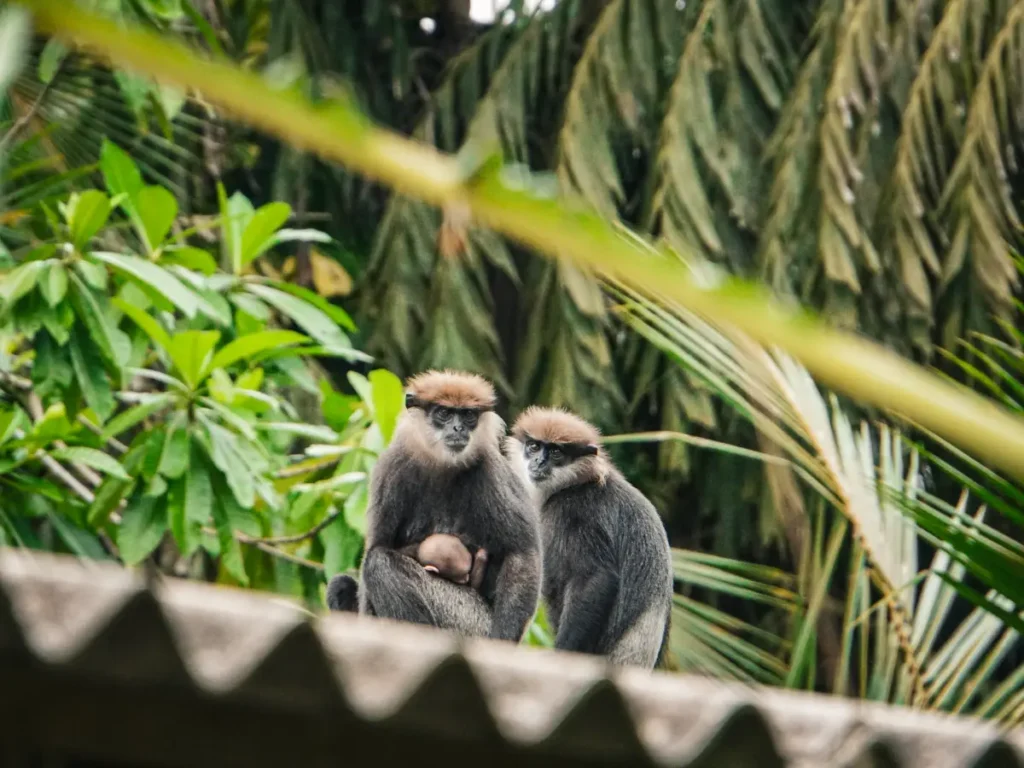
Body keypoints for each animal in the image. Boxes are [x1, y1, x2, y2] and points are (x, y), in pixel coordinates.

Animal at [509, 409, 671, 667]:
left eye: (556, 452)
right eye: (534, 447)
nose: (539, 462)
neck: (576, 483)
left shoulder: (573, 512)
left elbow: (596, 578)